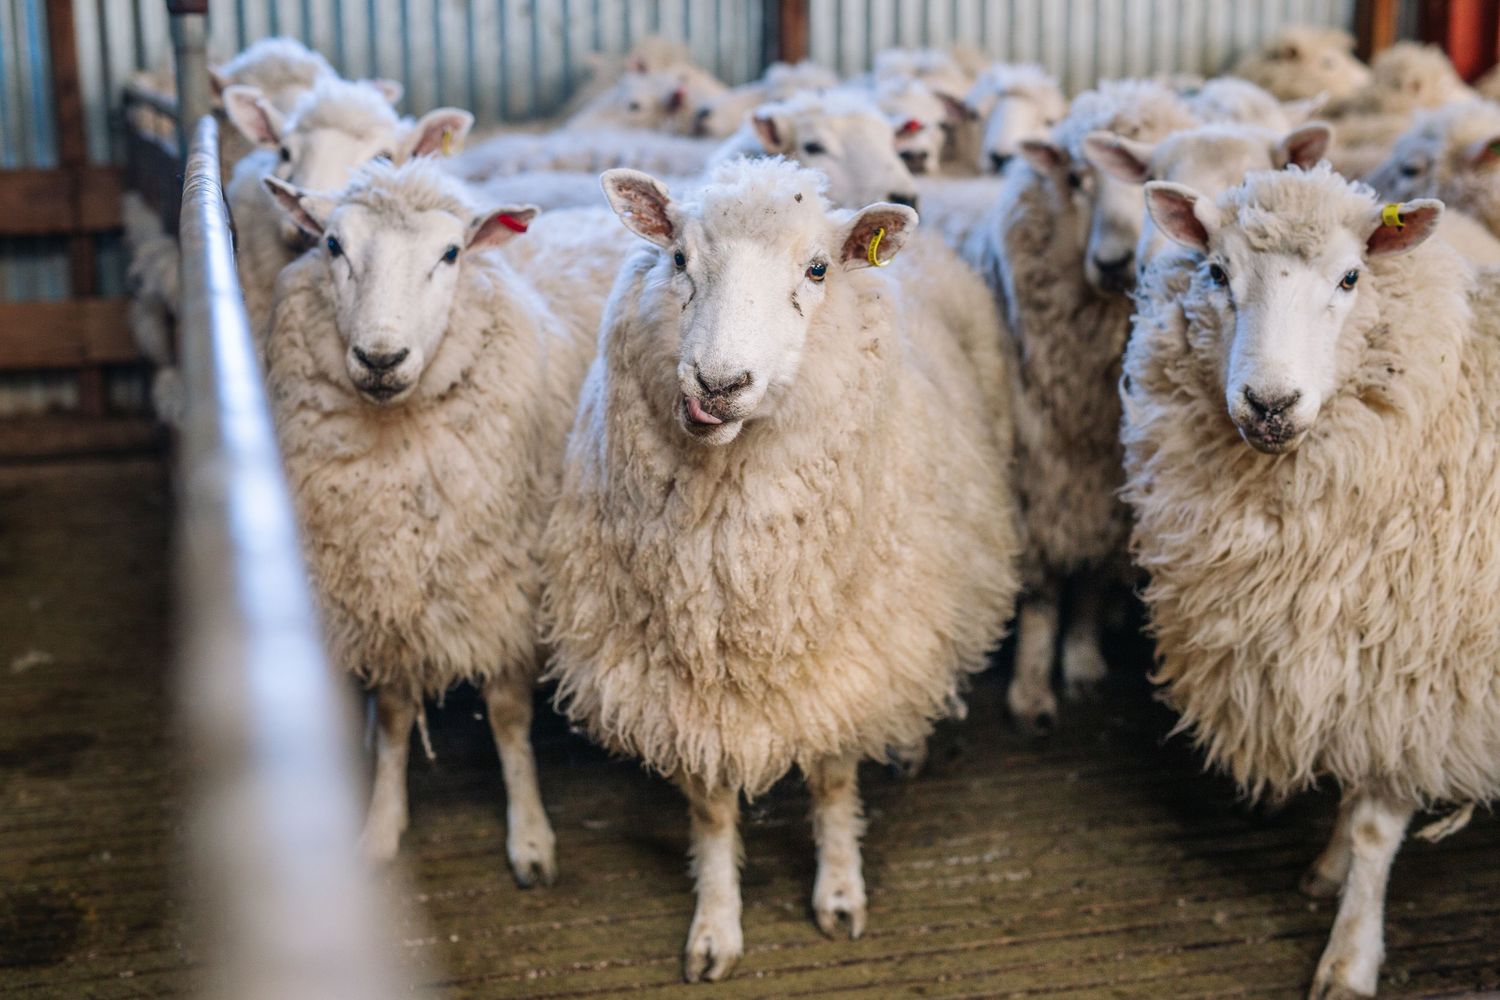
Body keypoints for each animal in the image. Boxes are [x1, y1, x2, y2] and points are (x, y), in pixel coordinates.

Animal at [260, 158, 632, 884]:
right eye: (333, 245)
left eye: (452, 253)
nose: (380, 358)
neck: (395, 442)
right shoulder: (383, 594)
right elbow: (397, 716)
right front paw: (381, 826)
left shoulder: (508, 587)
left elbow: (508, 720)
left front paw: (530, 837)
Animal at [542, 158, 1021, 982]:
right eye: (677, 258)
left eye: (818, 269)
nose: (717, 384)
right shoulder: (684, 686)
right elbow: (710, 809)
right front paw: (715, 926)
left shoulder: (841, 660)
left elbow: (832, 780)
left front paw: (839, 893)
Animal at [956, 79, 1195, 732]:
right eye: (1074, 179)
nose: (1114, 263)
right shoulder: (1034, 476)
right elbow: (1042, 591)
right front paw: (1033, 690)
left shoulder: (1114, 489)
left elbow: (1089, 579)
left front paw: (1084, 662)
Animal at [1125, 161, 1500, 998]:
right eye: (1217, 272)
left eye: (1352, 277)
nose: (1270, 404)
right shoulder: (1348, 656)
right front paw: (1329, 870)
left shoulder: (1416, 678)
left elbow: (1374, 827)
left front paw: (1350, 956)